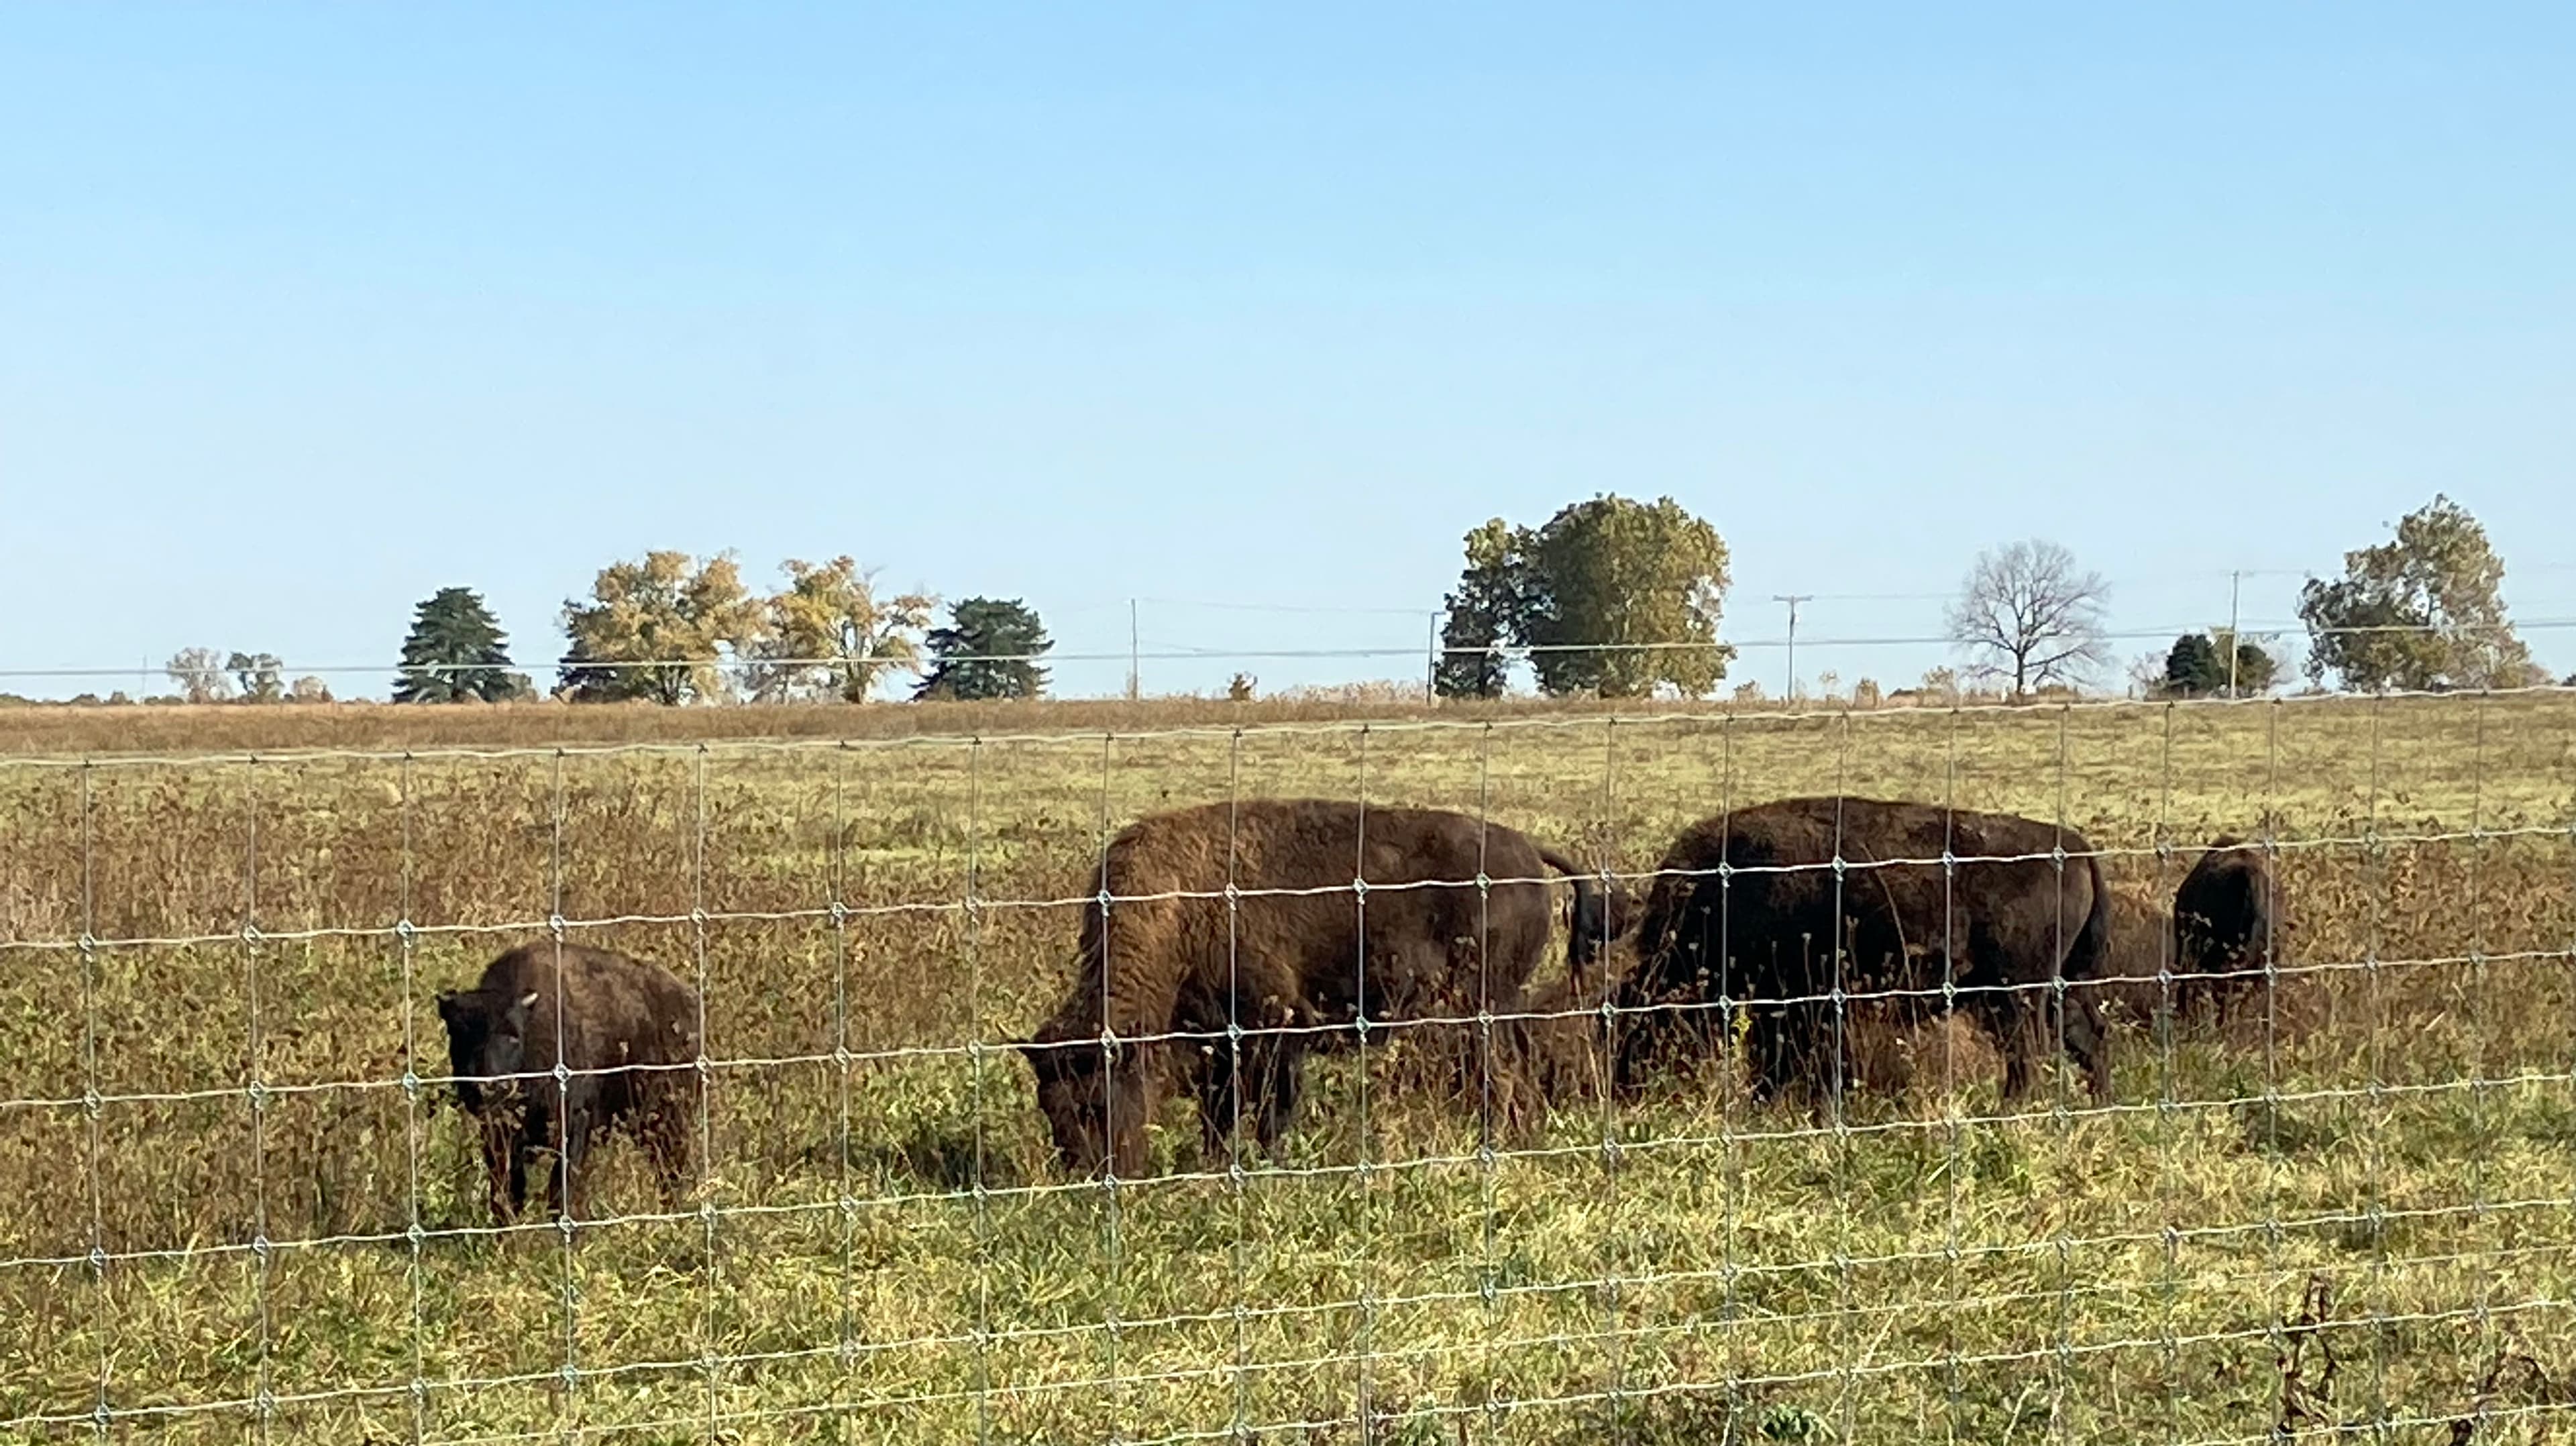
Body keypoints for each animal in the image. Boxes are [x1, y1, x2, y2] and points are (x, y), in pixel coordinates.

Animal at [436, 942, 703, 1224]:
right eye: (459, 1032)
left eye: (513, 1035)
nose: (487, 1085)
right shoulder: (498, 1137)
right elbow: (505, 1196)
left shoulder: (574, 1129)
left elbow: (560, 1194)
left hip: (667, 1123)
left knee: (671, 1173)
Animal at [1019, 798, 1608, 1178]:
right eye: (1050, 1107)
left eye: (1097, 1101)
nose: (1089, 1177)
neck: (1177, 913)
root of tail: (1526, 850)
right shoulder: (1217, 1044)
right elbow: (1219, 1115)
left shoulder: (1274, 1033)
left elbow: (1268, 1113)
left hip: (1483, 1004)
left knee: (1505, 1075)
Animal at [1614, 797, 2114, 1107]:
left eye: (1636, 1025)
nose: (1623, 1087)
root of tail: (2076, 848)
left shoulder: (1791, 1007)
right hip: (2059, 989)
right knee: (2087, 1038)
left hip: (2016, 994)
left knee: (2028, 1054)